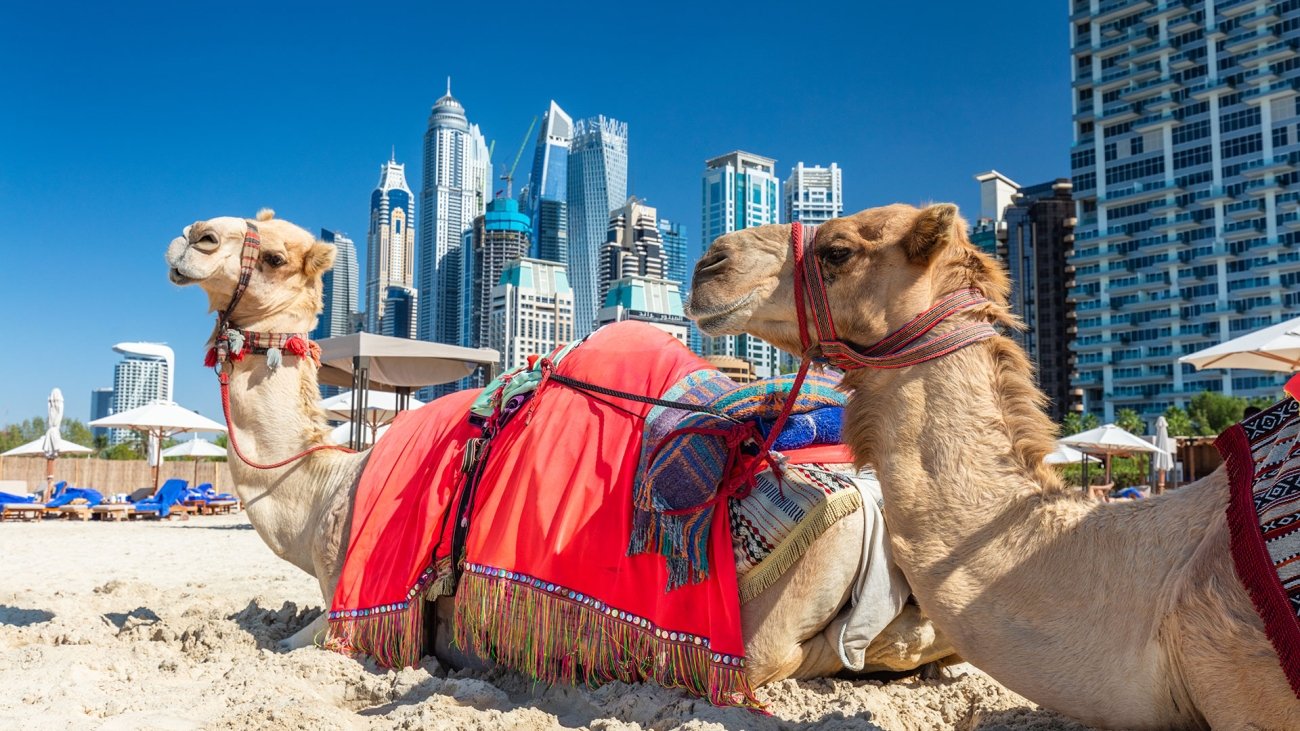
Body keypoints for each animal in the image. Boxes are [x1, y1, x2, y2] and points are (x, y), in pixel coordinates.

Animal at [167, 208, 951, 686]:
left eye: (272, 255)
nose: (192, 236)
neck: (323, 487)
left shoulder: (351, 606)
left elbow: (289, 641)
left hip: (766, 614)